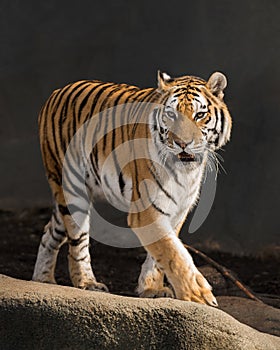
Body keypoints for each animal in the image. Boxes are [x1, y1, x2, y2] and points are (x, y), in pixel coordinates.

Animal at [32, 71, 232, 306]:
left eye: (200, 114)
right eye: (171, 115)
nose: (183, 143)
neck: (185, 172)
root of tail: (56, 92)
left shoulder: (178, 209)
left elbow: (163, 252)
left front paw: (152, 289)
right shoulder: (146, 210)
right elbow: (173, 253)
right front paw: (197, 296)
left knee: (50, 232)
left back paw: (43, 279)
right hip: (73, 189)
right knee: (78, 243)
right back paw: (87, 283)